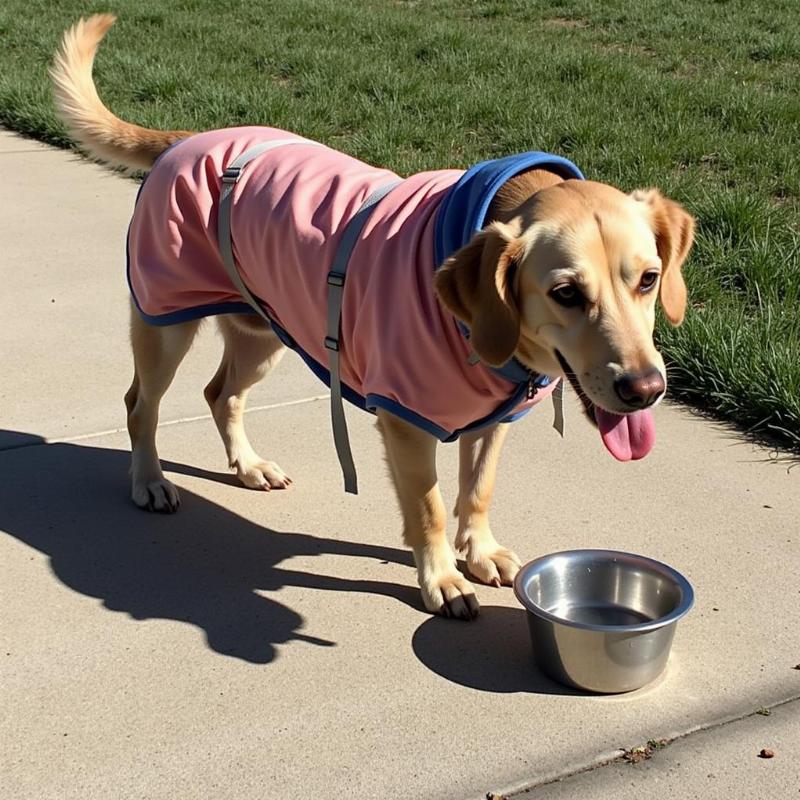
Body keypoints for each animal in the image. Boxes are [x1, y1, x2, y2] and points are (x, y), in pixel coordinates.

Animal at [50, 15, 692, 620]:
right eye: (565, 292)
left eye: (649, 279)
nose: (646, 389)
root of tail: (188, 136)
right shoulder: (407, 423)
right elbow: (429, 509)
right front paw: (443, 579)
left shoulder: (495, 420)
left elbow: (478, 490)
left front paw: (480, 552)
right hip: (166, 319)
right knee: (142, 404)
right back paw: (150, 481)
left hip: (262, 329)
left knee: (221, 393)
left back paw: (248, 465)